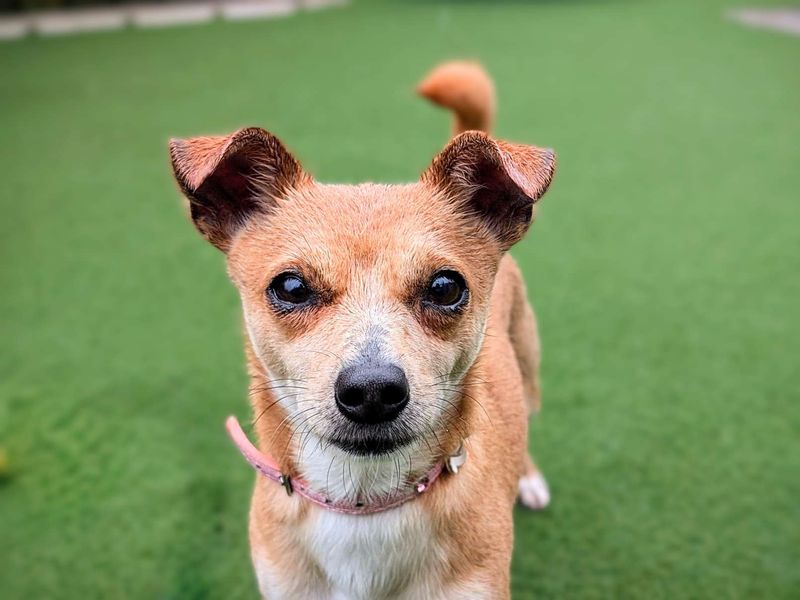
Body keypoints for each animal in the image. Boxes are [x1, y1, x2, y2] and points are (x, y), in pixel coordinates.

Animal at [169, 62, 556, 600]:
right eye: (290, 286)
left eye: (445, 286)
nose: (372, 390)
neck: (363, 505)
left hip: (528, 360)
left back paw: (529, 478)